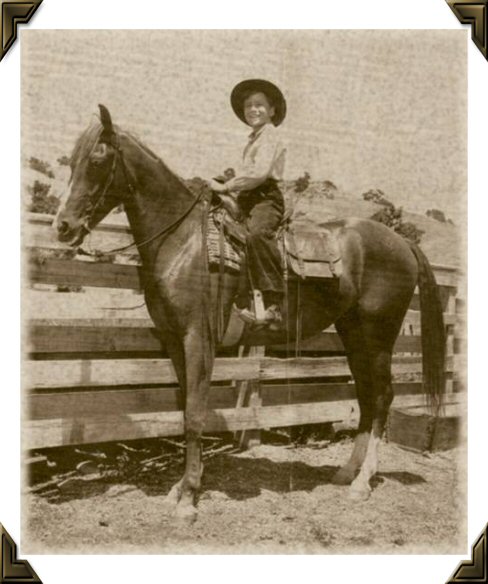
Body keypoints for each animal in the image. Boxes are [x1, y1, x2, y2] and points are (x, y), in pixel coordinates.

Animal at [55, 105, 444, 520]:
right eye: (72, 161)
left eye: (97, 160)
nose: (63, 226)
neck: (183, 242)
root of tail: (401, 241)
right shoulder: (175, 340)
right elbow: (185, 410)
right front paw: (181, 488)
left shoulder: (199, 337)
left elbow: (196, 414)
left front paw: (188, 498)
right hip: (353, 334)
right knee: (368, 397)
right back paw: (345, 472)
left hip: (378, 335)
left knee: (384, 396)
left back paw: (362, 482)